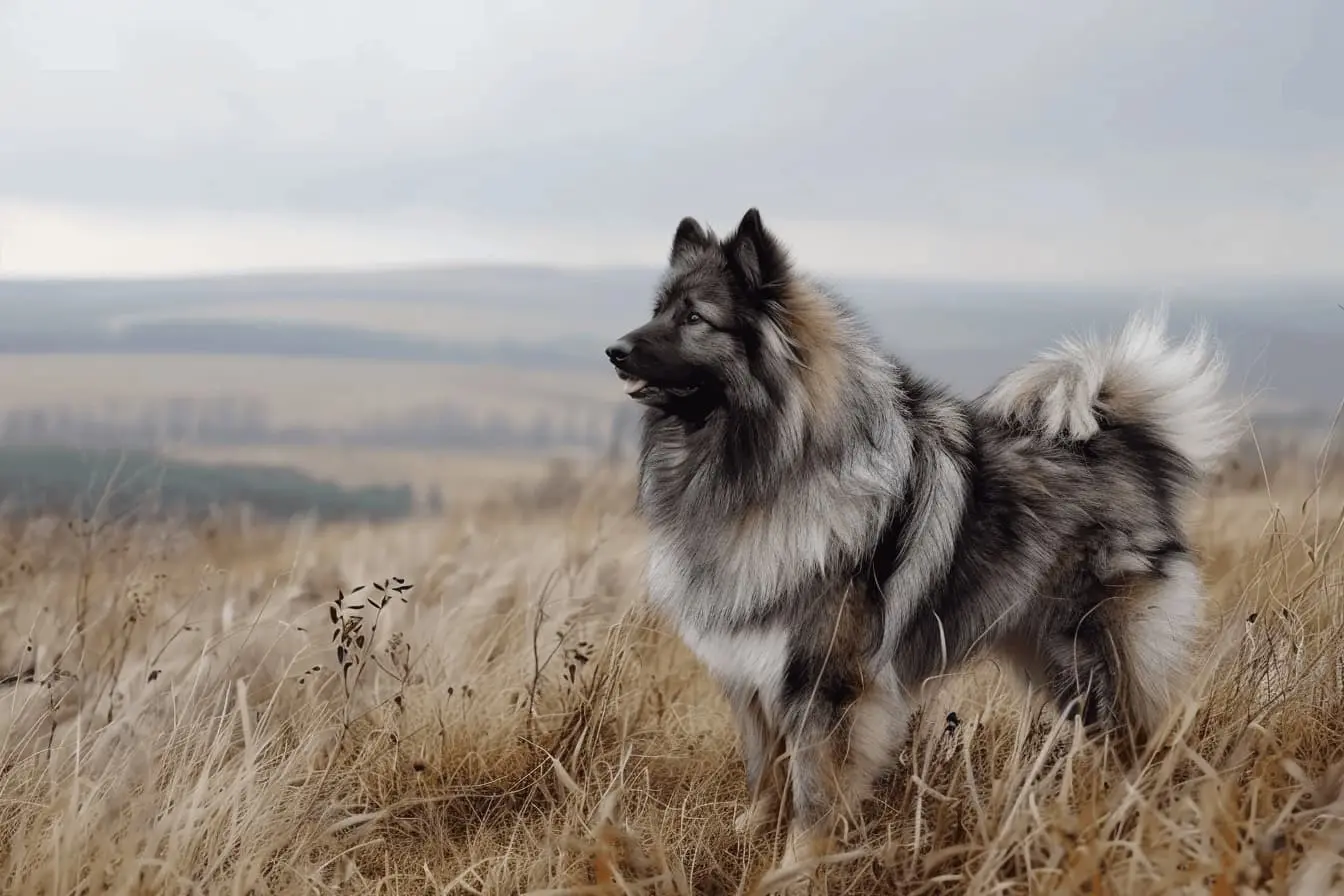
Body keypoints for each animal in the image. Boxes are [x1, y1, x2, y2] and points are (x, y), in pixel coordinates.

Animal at [604, 206, 1241, 865]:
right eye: (658, 309)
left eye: (694, 318)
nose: (614, 351)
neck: (764, 472)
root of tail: (1122, 446)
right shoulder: (750, 673)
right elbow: (766, 770)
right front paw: (750, 833)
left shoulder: (826, 683)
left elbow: (813, 793)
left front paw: (797, 865)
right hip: (1048, 656)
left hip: (1093, 656)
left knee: (1135, 741)